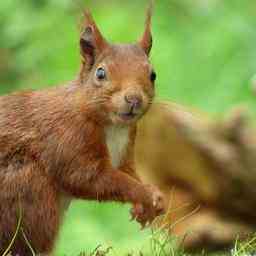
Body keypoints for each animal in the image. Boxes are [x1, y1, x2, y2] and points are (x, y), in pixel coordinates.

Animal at [0, 4, 164, 256]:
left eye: (152, 75)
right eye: (100, 73)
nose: (134, 99)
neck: (113, 128)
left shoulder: (125, 153)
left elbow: (127, 172)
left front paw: (151, 199)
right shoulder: (67, 138)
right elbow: (90, 178)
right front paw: (145, 195)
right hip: (26, 191)